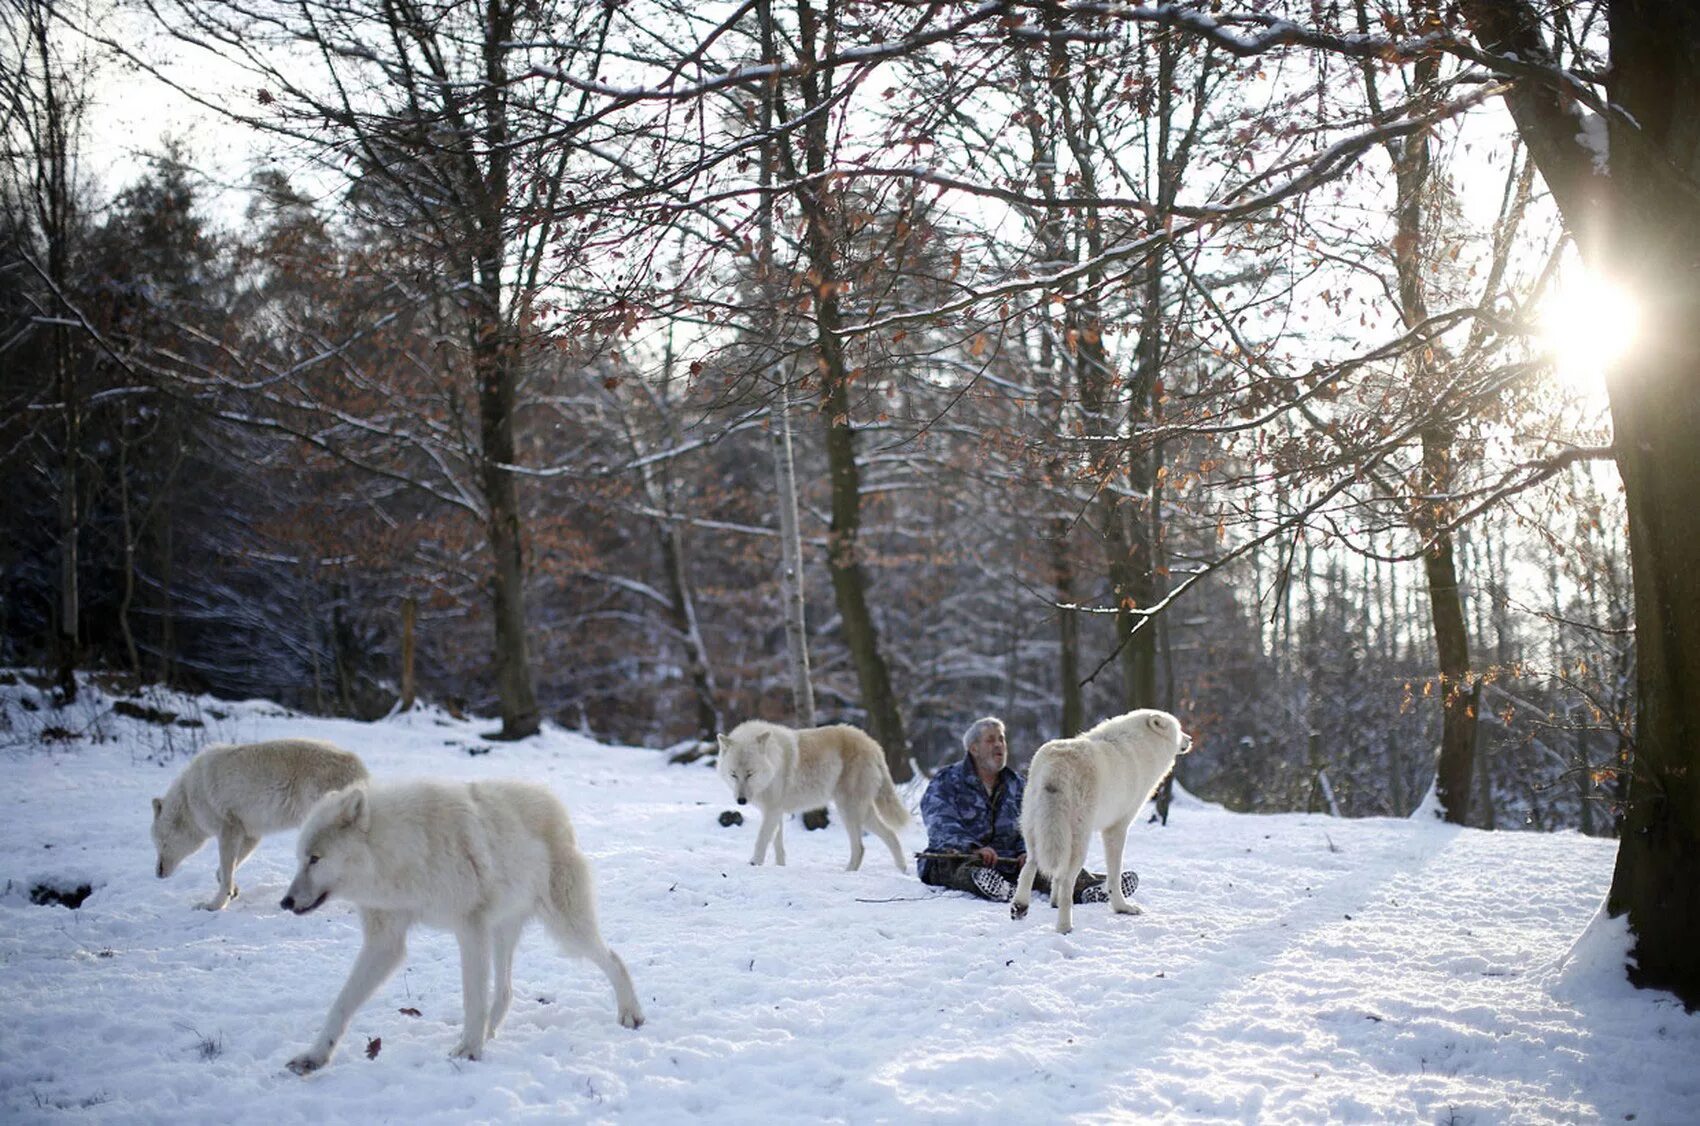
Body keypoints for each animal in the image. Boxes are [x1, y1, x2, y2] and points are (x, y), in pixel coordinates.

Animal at [151, 741, 367, 918]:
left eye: (160, 843)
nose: (157, 873)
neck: (189, 797)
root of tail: (359, 767)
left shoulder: (228, 830)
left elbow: (225, 872)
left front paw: (214, 905)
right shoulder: (250, 835)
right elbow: (223, 872)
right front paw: (233, 891)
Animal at [278, 775, 642, 1074]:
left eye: (315, 859)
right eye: (300, 859)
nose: (286, 902)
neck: (401, 854)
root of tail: (556, 805)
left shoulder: (469, 929)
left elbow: (472, 998)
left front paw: (468, 1050)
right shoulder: (386, 942)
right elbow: (341, 1003)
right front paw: (314, 1057)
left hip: (566, 931)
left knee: (615, 959)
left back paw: (631, 1014)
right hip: (502, 932)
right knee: (506, 990)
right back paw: (490, 1032)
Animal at [714, 724, 911, 870]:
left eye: (750, 773)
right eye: (733, 774)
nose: (741, 801)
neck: (774, 761)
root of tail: (874, 745)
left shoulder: (772, 811)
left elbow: (762, 840)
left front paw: (755, 864)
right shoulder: (776, 812)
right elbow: (778, 845)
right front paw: (780, 867)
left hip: (848, 811)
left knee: (860, 848)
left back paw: (848, 873)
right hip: (862, 813)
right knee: (891, 834)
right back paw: (902, 870)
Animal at [1006, 714, 1196, 932]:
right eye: (1179, 729)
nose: (1190, 739)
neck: (1143, 745)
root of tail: (1056, 766)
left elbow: (1053, 877)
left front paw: (1052, 902)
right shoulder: (1117, 829)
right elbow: (1114, 876)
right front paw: (1122, 908)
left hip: (1036, 833)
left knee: (1030, 866)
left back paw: (1020, 907)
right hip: (1079, 842)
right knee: (1066, 881)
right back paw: (1064, 927)